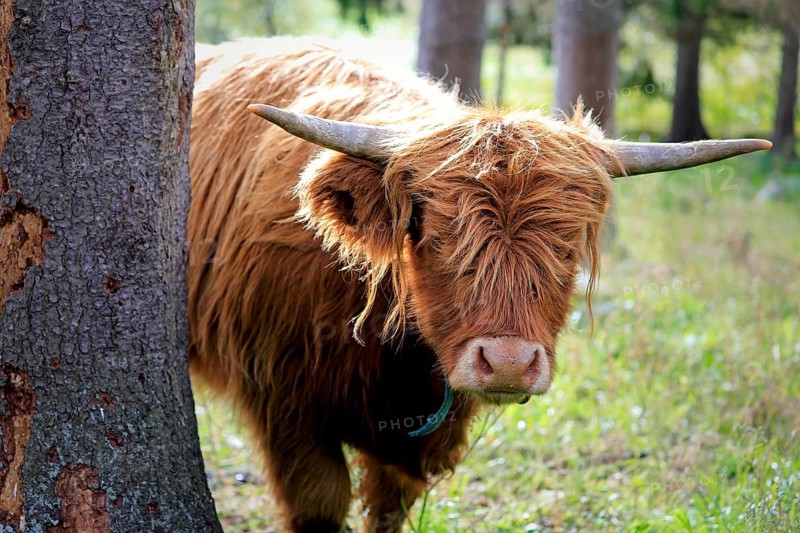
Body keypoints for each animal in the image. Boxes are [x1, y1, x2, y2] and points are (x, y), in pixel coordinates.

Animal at [188, 38, 770, 532]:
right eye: (435, 238)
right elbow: (319, 504)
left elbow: (388, 509)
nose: (509, 362)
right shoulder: (285, 403)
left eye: (567, 248)